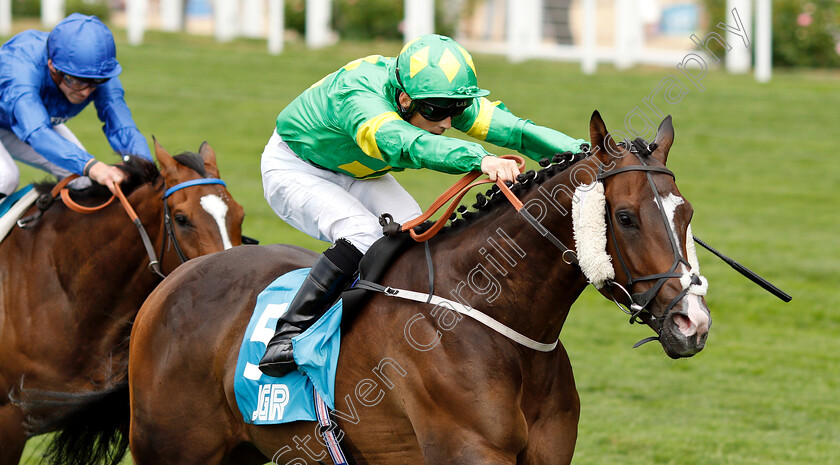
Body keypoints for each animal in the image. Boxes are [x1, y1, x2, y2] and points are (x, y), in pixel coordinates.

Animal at [52, 112, 712, 464]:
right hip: (173, 447)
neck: (496, 323)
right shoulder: (468, 449)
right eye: (625, 217)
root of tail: (172, 283)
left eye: (685, 212)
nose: (692, 323)